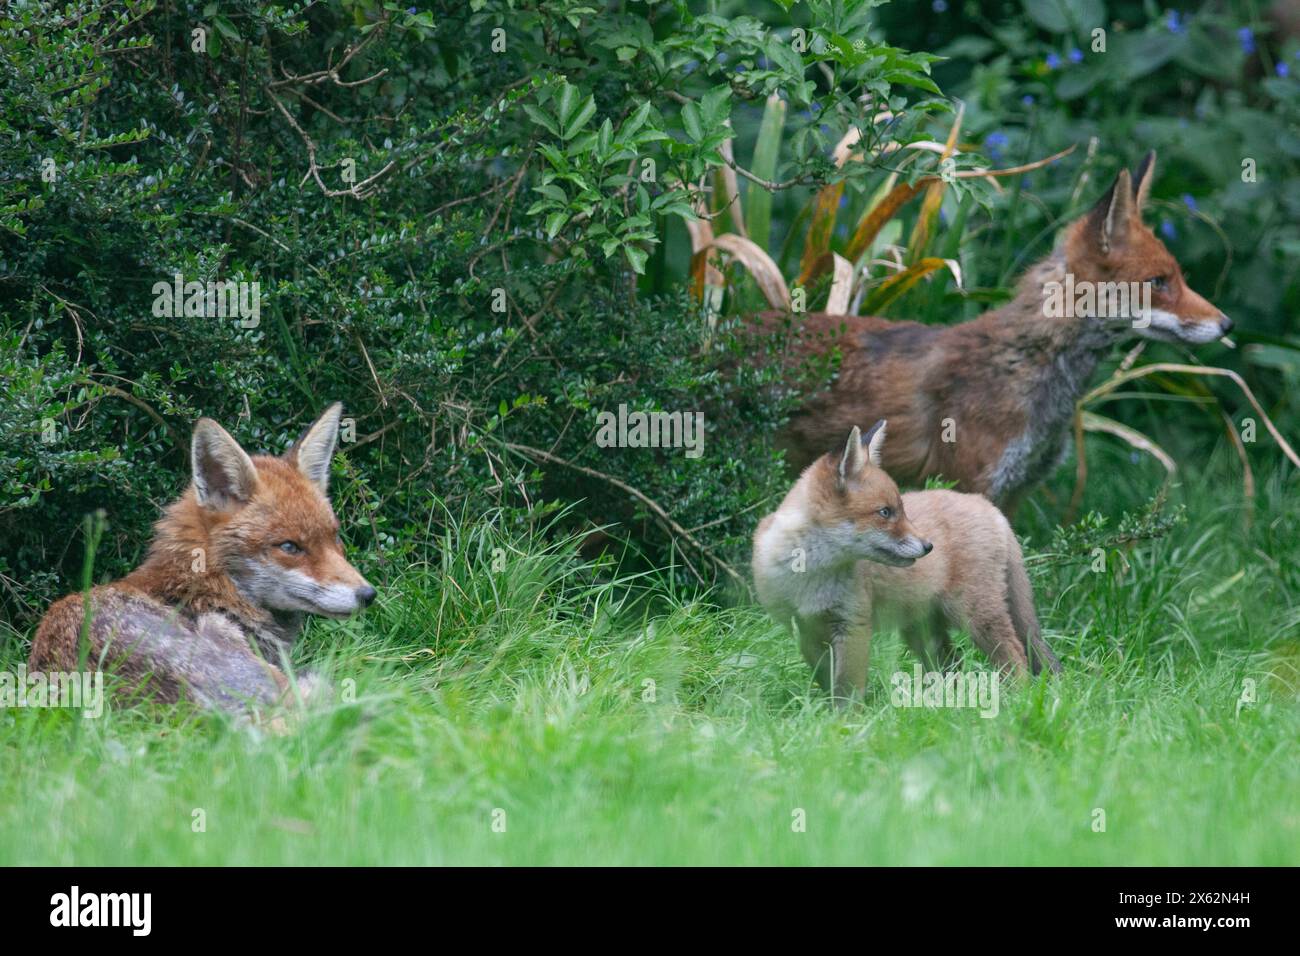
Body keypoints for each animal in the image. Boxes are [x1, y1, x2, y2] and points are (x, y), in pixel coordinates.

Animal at [752, 420, 1061, 704]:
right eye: (885, 512)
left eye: (901, 510)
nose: (928, 547)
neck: (810, 574)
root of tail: (988, 506)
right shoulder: (803, 630)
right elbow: (828, 682)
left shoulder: (853, 624)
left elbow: (847, 689)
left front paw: (847, 721)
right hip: (924, 632)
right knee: (953, 665)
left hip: (975, 615)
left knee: (1016, 655)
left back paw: (1017, 701)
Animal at [761, 151, 1233, 514]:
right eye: (1158, 282)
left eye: (1178, 276)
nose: (1227, 325)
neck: (1026, 362)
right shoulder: (970, 482)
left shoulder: (1015, 490)